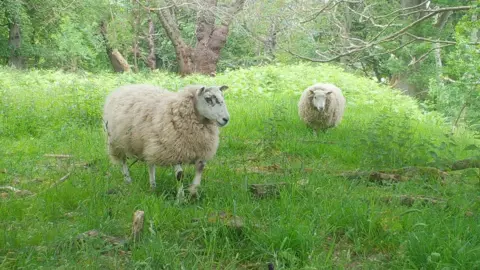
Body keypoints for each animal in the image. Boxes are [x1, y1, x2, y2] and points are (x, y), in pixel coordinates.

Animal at [102, 84, 230, 200]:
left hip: (149, 143)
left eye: (222, 97)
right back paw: (128, 180)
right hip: (116, 142)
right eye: (208, 99)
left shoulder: (201, 152)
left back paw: (153, 185)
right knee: (123, 162)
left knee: (150, 164)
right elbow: (180, 175)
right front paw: (180, 198)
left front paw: (193, 193)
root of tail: (123, 87)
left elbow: (200, 170)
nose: (226, 119)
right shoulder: (174, 150)